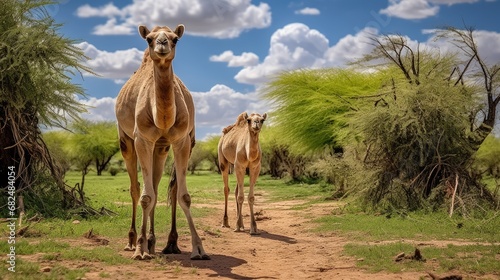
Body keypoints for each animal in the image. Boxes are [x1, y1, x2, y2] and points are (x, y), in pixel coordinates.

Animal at [115, 24, 209, 260]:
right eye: (149, 39)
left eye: (175, 39)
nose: (162, 44)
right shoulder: (143, 139)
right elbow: (145, 197)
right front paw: (140, 249)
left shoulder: (182, 140)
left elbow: (182, 195)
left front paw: (199, 248)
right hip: (126, 140)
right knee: (136, 188)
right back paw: (133, 241)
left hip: (162, 148)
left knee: (158, 189)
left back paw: (156, 242)